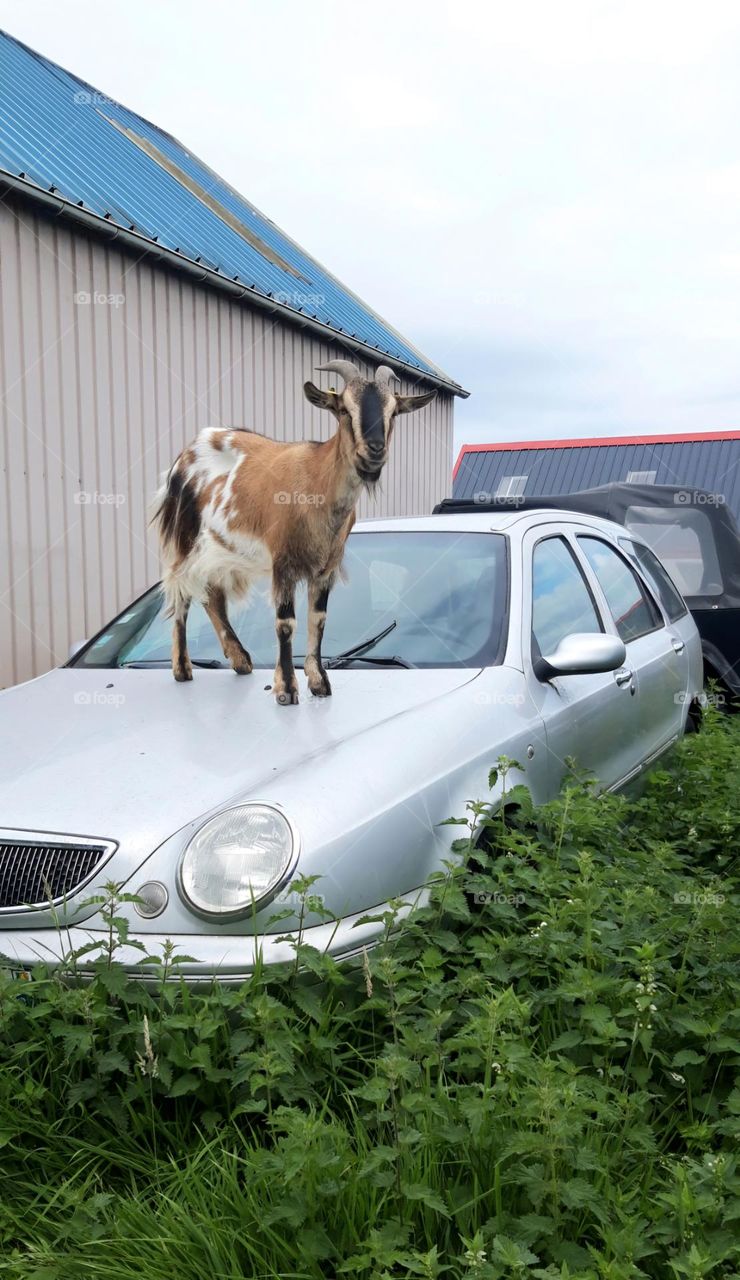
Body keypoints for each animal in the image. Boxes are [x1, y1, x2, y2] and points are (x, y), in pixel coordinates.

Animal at [151, 360, 436, 703]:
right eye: (343, 409)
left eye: (393, 411)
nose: (375, 450)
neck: (317, 482)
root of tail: (187, 452)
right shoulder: (283, 562)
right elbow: (285, 623)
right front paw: (287, 688)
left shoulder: (326, 566)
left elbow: (318, 620)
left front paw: (319, 683)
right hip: (184, 536)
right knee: (181, 591)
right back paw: (182, 668)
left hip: (220, 548)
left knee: (212, 594)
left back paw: (240, 660)